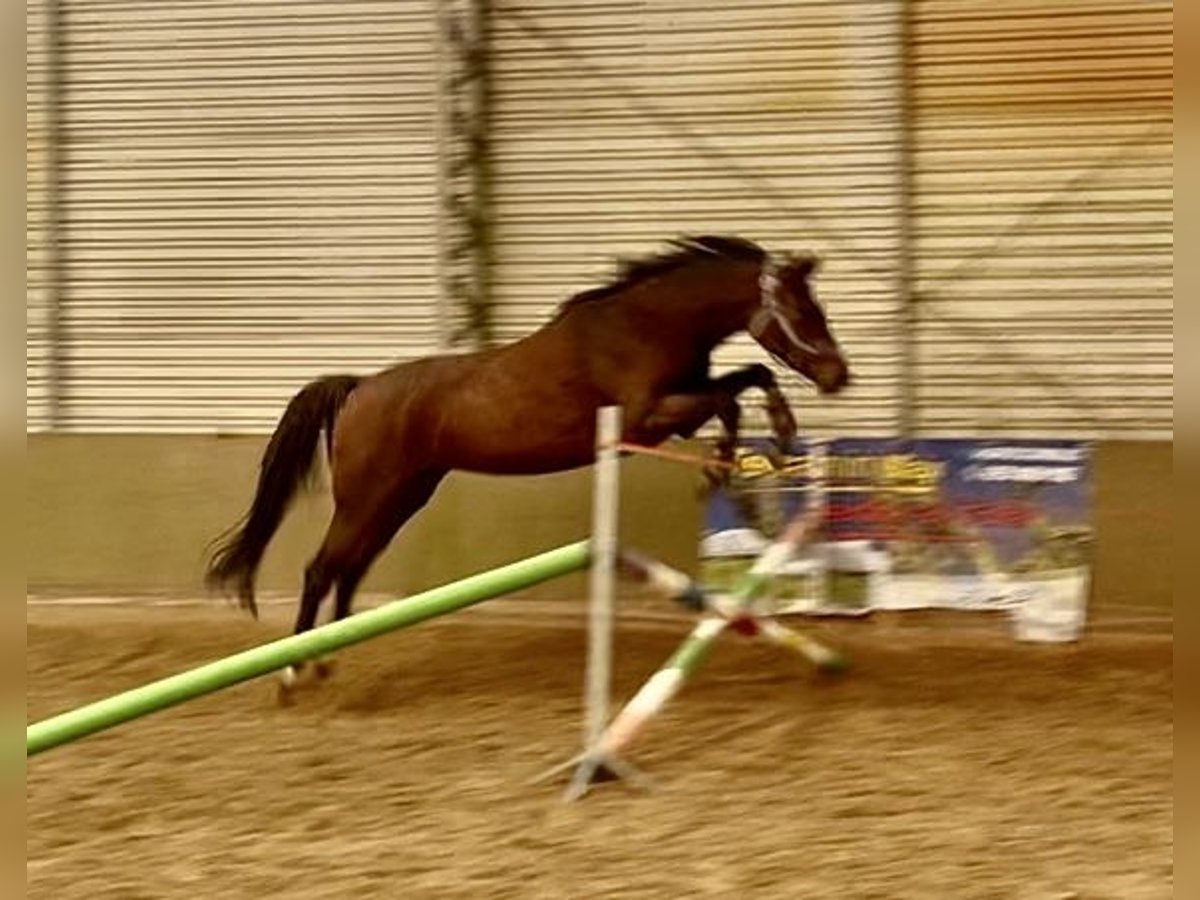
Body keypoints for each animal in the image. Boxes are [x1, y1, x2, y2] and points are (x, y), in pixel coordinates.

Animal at [204, 235, 850, 693]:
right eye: (803, 310)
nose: (838, 376)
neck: (646, 323)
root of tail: (360, 388)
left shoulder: (678, 408)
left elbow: (745, 380)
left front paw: (761, 448)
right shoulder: (645, 419)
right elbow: (730, 396)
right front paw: (729, 467)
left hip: (401, 496)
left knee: (350, 568)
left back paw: (331, 656)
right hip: (370, 496)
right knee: (322, 568)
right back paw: (294, 671)